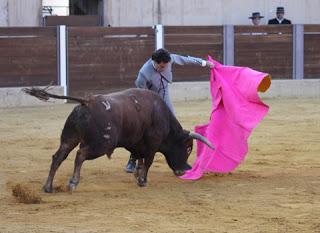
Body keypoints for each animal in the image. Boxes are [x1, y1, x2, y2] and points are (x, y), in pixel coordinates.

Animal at [23, 86, 214, 192]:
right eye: (188, 148)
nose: (186, 169)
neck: (163, 118)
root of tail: (88, 101)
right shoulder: (152, 145)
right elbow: (148, 161)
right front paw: (143, 181)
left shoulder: (137, 145)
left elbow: (139, 160)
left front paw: (137, 176)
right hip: (100, 144)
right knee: (80, 155)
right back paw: (73, 183)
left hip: (69, 138)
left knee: (58, 156)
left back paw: (48, 187)